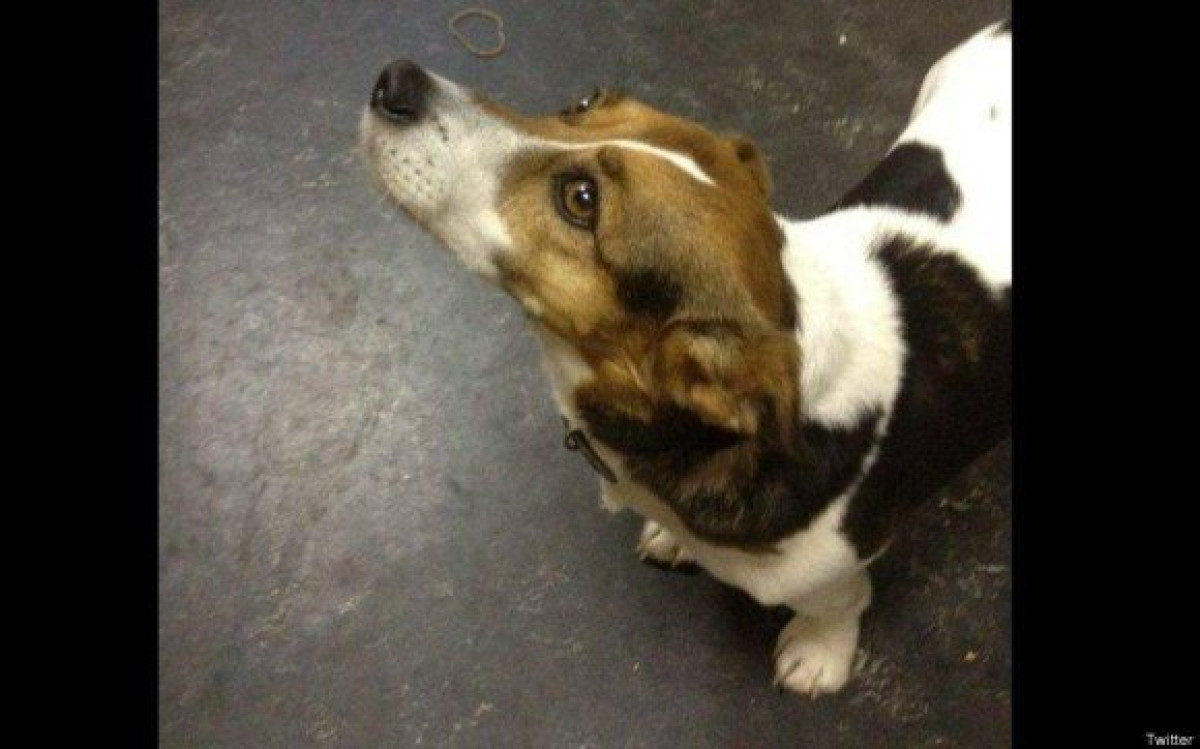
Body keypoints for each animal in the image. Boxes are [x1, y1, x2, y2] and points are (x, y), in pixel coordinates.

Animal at [360, 20, 1011, 695]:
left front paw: (821, 653)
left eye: (581, 199)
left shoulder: (833, 569)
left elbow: (839, 603)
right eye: (585, 102)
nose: (396, 81)